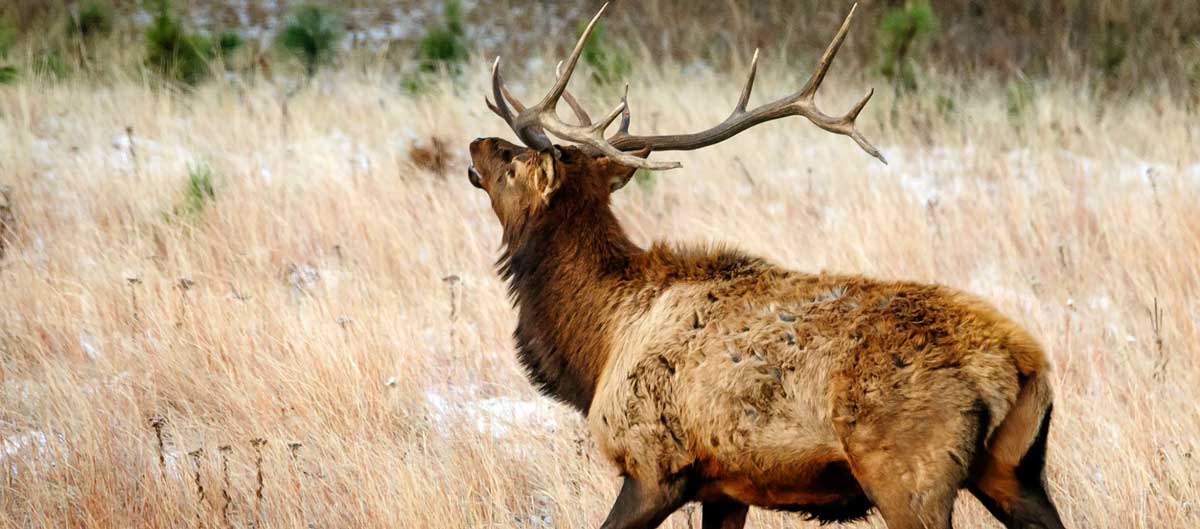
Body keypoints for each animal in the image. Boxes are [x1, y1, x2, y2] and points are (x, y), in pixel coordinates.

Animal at [465, 4, 1065, 529]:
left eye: (515, 161)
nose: (474, 144)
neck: (598, 344)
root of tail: (1023, 363)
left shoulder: (653, 464)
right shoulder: (726, 487)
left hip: (909, 473)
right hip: (1015, 471)